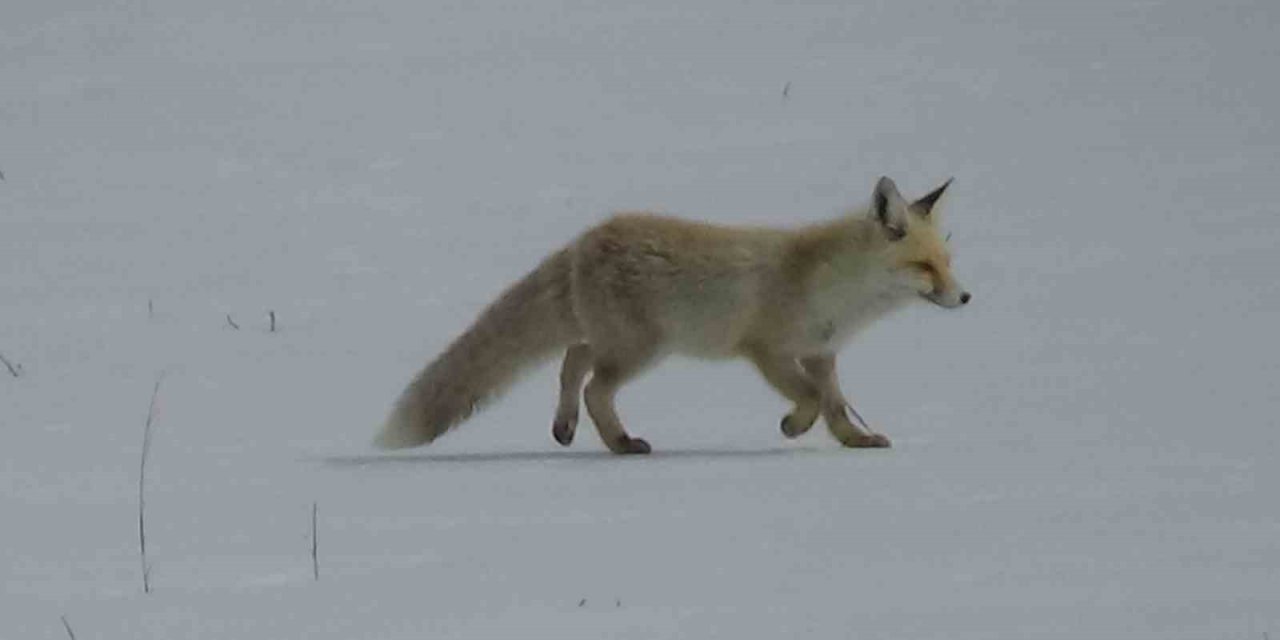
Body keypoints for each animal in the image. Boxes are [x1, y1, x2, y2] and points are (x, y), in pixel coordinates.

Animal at [376, 176, 967, 455]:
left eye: (947, 261)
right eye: (923, 266)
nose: (965, 299)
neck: (835, 290)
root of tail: (585, 239)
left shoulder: (821, 353)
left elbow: (836, 405)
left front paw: (854, 442)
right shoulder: (768, 351)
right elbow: (811, 399)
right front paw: (793, 427)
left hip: (615, 340)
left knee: (572, 361)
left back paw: (567, 428)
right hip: (641, 351)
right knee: (593, 387)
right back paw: (620, 445)